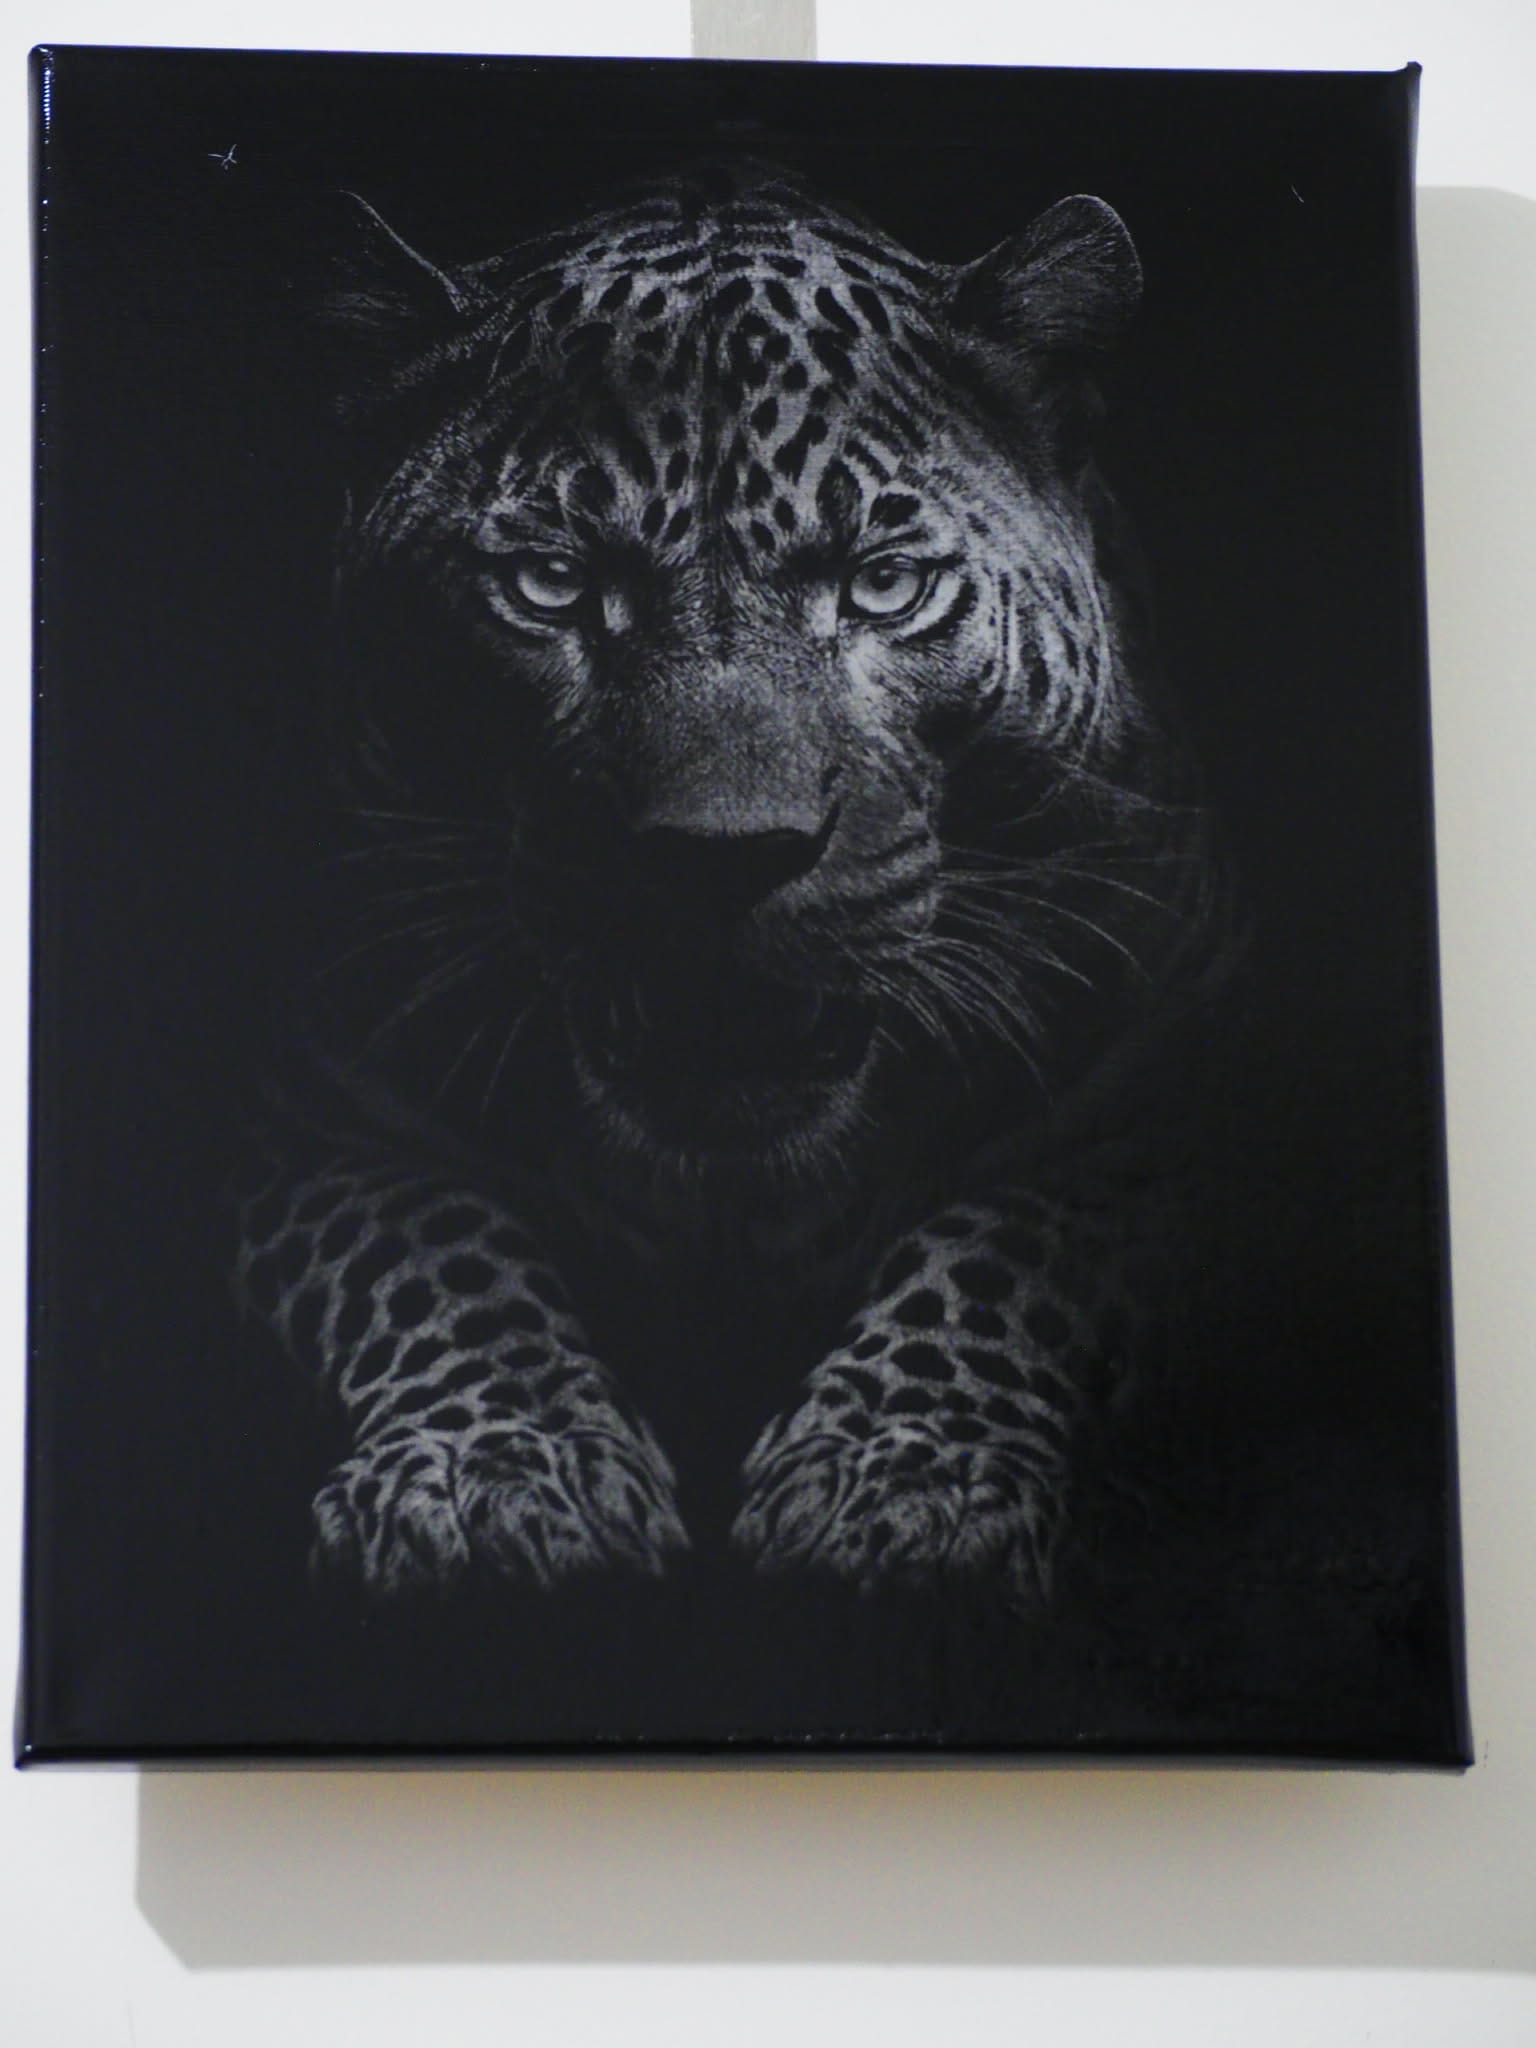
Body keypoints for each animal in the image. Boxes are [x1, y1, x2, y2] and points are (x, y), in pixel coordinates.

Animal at [234, 161, 1222, 1607]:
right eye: (553, 583)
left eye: (884, 584)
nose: (720, 854)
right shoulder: (302, 1093)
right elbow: (422, 1237)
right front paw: (498, 1470)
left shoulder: (1163, 1090)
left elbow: (1010, 1242)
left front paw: (899, 1478)